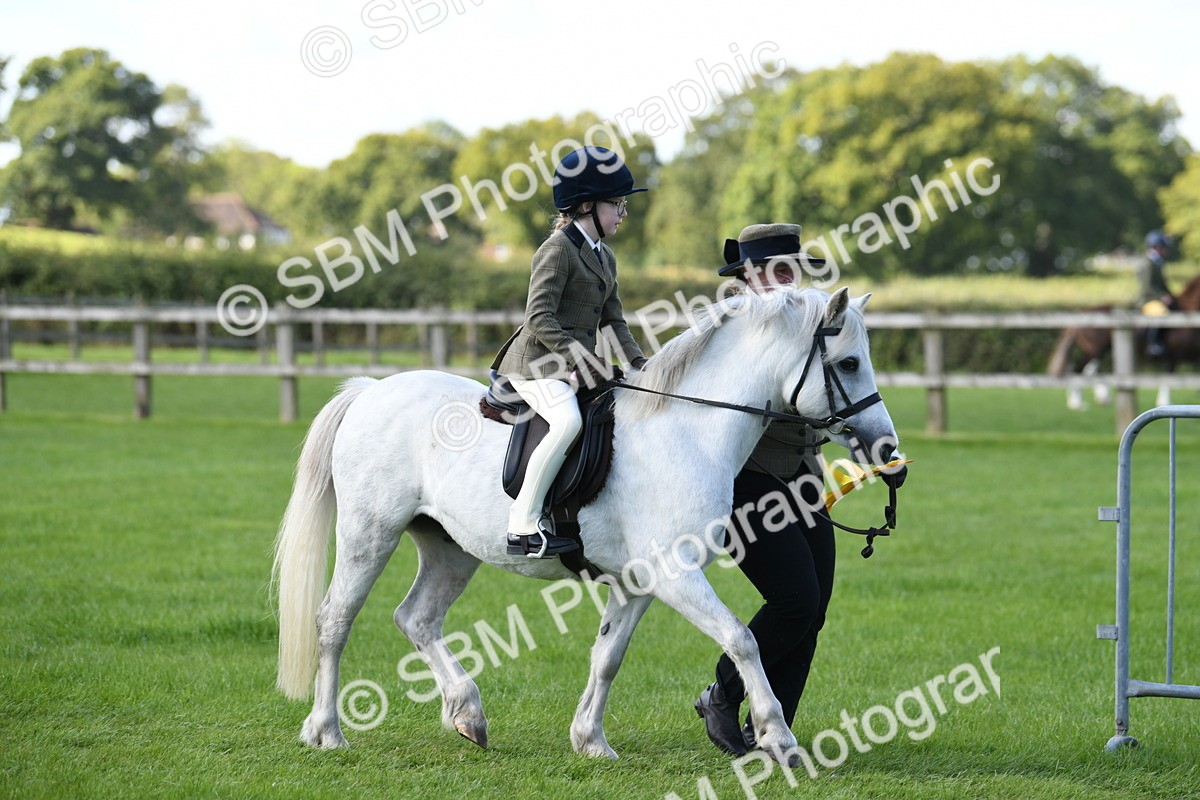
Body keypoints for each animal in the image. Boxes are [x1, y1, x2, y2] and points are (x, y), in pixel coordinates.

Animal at [271, 286, 901, 765]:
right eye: (848, 363)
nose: (887, 447)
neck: (687, 429)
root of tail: (371, 391)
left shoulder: (638, 583)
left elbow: (608, 657)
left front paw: (590, 740)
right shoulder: (676, 575)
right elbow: (742, 639)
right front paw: (778, 737)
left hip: (451, 548)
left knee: (417, 618)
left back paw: (468, 713)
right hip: (368, 534)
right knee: (335, 622)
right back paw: (326, 731)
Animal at [1046, 274, 1200, 409]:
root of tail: (1082, 313)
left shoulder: (1191, 356)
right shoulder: (1173, 355)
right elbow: (1167, 377)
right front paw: (1164, 401)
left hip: (1099, 350)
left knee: (1088, 371)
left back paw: (1098, 398)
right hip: (1094, 349)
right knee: (1080, 371)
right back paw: (1078, 402)